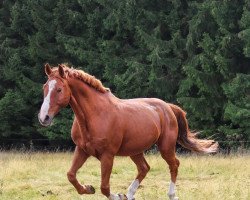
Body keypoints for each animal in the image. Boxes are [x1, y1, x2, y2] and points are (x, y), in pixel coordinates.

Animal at [38, 64, 218, 200]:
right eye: (45, 87)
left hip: (165, 147)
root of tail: (167, 107)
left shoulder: (107, 155)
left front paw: (117, 196)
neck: (96, 114)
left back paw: (171, 195)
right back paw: (130, 195)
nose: (43, 117)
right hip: (135, 150)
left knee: (174, 164)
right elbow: (71, 175)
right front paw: (88, 188)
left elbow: (104, 187)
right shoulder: (82, 150)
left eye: (59, 89)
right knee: (144, 168)